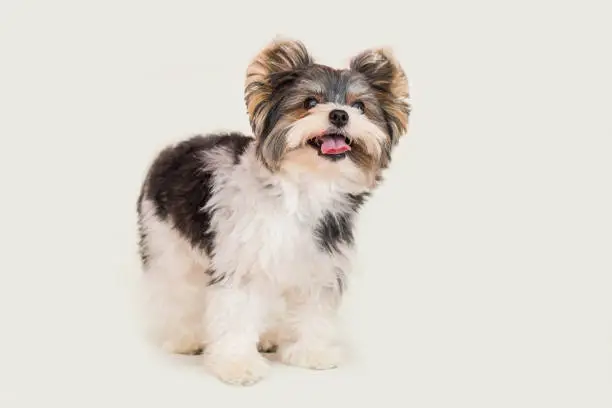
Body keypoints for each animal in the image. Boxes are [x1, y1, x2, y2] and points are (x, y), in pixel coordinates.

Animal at [135, 38, 412, 386]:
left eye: (359, 106)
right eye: (309, 102)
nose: (339, 115)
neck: (304, 188)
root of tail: (171, 150)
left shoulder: (320, 261)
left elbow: (314, 309)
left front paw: (312, 352)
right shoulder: (242, 262)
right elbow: (236, 313)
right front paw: (237, 363)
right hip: (166, 243)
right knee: (177, 289)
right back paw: (186, 337)